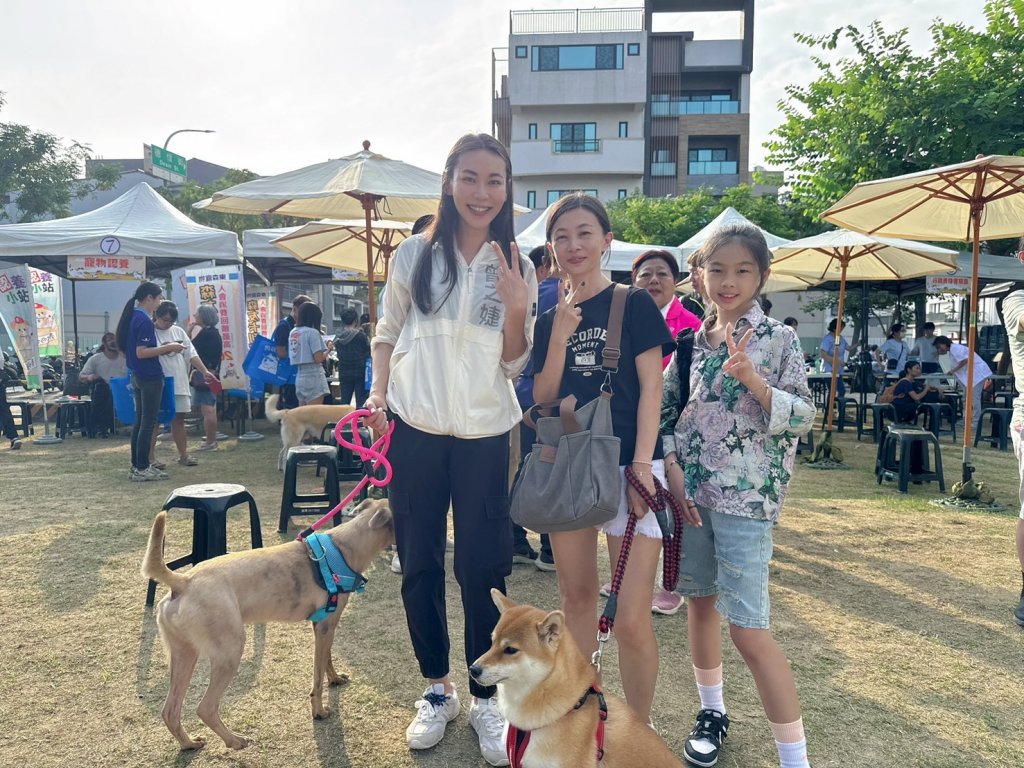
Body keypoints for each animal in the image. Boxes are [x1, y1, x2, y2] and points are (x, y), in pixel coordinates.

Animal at [143, 499, 395, 753]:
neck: (345, 548)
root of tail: (183, 581)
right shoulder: (326, 626)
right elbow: (317, 678)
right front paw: (319, 711)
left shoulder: (323, 625)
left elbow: (326, 661)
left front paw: (334, 679)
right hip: (229, 651)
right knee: (206, 707)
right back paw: (235, 741)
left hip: (184, 654)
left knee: (170, 711)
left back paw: (189, 744)